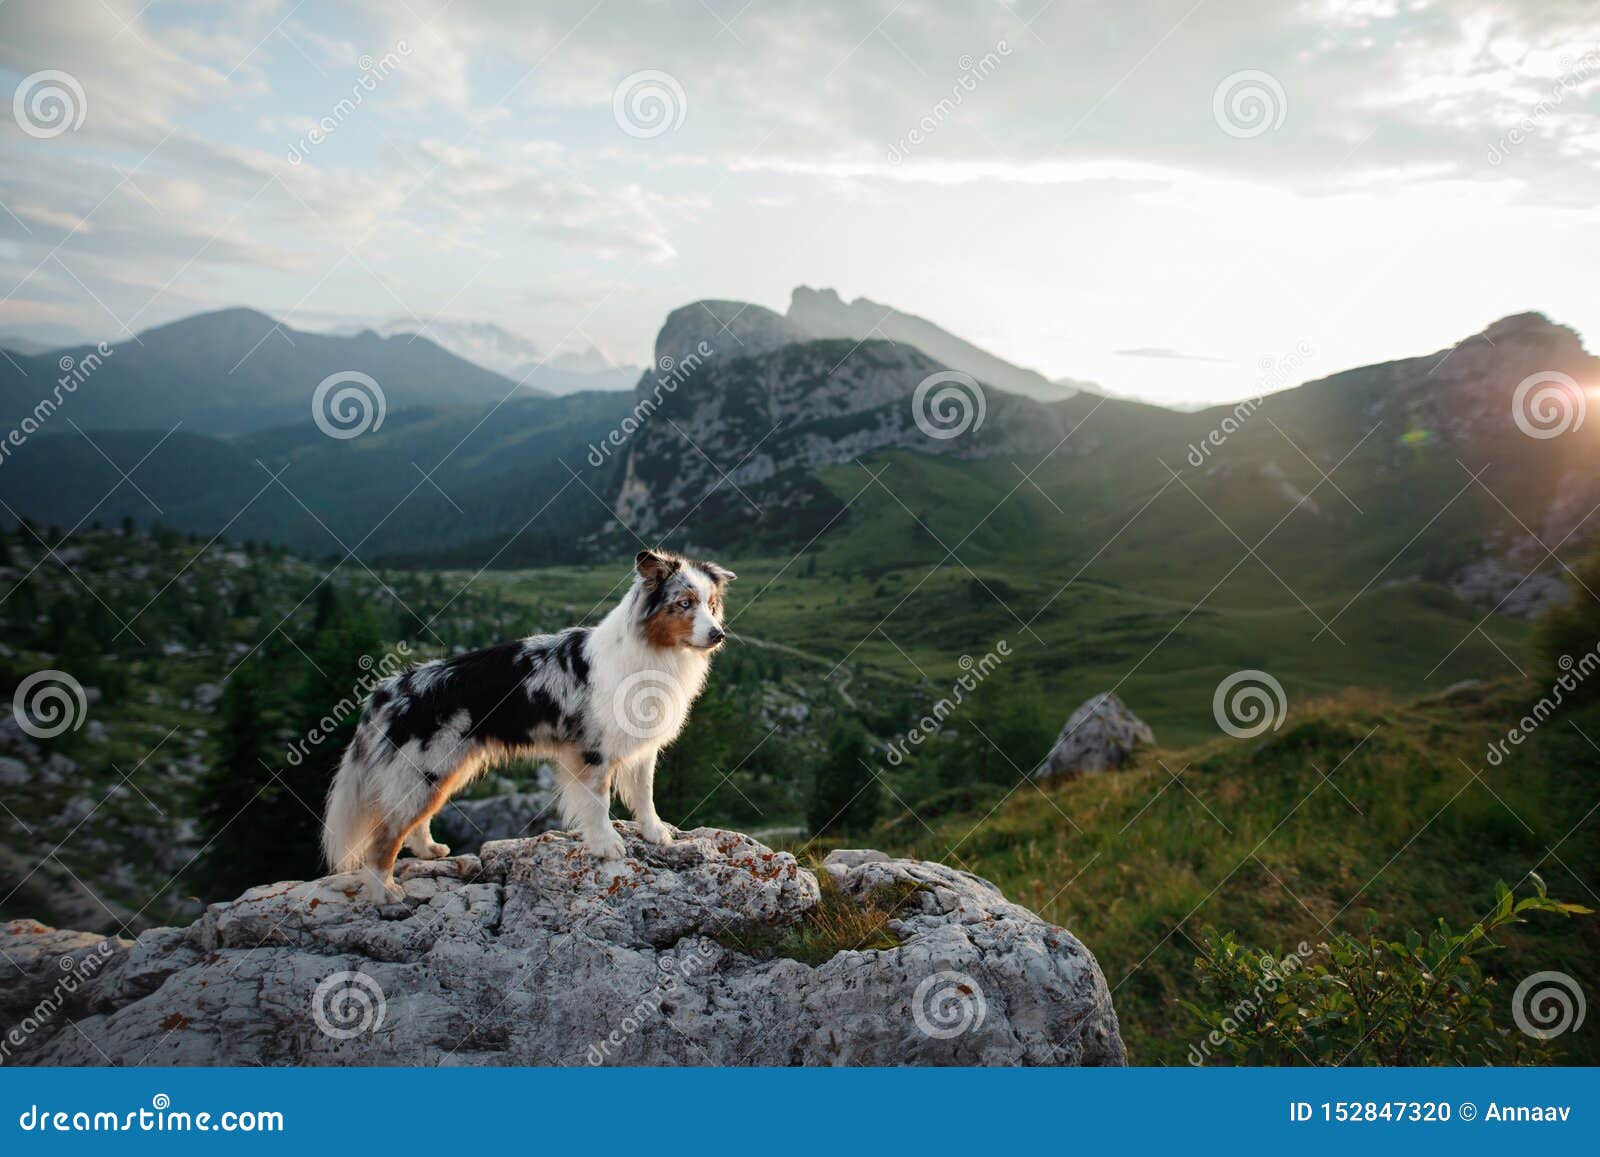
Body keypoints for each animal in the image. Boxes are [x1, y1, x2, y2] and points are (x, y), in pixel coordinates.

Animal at [324, 553, 736, 902]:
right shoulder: (592, 751)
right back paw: (384, 891)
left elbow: (645, 796)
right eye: (684, 603)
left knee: (414, 820)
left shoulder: (641, 747)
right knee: (384, 835)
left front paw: (657, 834)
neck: (654, 651)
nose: (718, 634)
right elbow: (599, 803)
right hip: (423, 770)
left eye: (712, 604)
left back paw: (429, 851)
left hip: (440, 771)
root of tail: (387, 690)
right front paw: (607, 846)